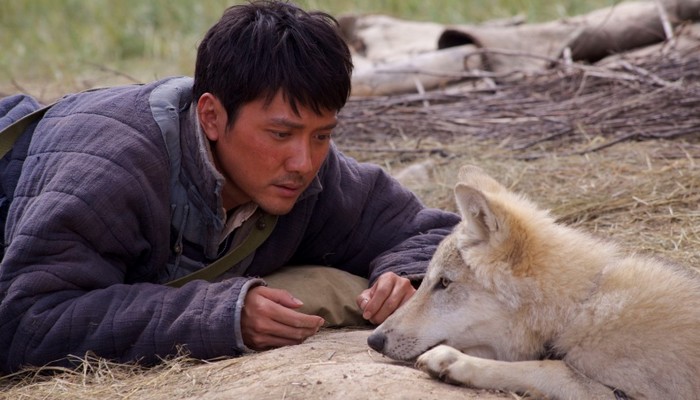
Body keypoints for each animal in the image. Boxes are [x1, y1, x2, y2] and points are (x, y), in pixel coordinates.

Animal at [367, 165, 700, 399]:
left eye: (445, 283)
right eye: (427, 281)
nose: (373, 339)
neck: (579, 309)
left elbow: (550, 368)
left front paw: (455, 362)